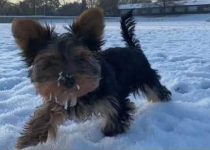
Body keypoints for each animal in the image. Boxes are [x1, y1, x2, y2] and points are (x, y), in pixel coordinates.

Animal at [12, 7, 171, 149]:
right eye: (50, 62)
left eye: (80, 58)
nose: (67, 79)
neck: (82, 94)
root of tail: (133, 48)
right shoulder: (59, 97)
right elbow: (45, 114)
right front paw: (27, 139)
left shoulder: (113, 99)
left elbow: (116, 116)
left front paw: (111, 137)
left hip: (146, 75)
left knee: (156, 88)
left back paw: (164, 101)